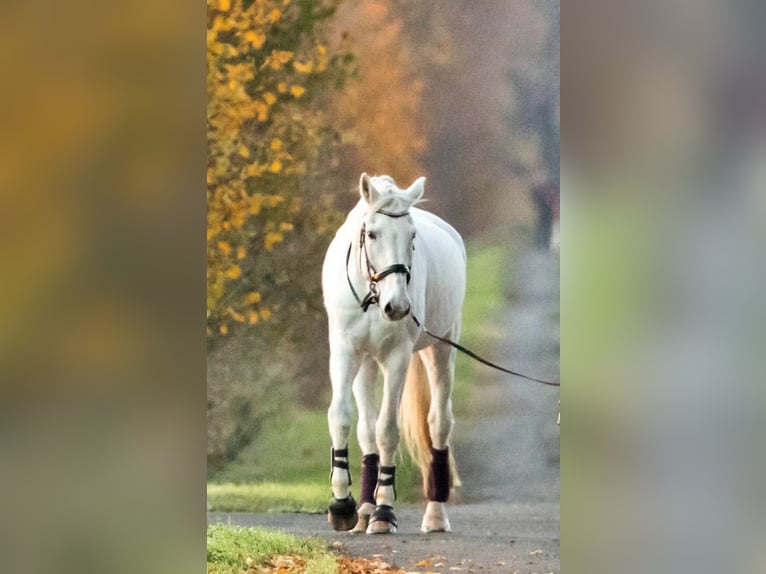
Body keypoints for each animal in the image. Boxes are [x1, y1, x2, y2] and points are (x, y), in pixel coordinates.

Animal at [320, 172, 464, 536]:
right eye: (372, 233)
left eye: (412, 236)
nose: (397, 306)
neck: (372, 294)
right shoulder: (345, 353)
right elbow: (342, 417)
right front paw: (342, 506)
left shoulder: (398, 358)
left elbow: (387, 430)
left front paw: (385, 511)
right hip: (367, 363)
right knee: (366, 428)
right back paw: (364, 510)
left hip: (442, 348)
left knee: (438, 423)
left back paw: (434, 515)